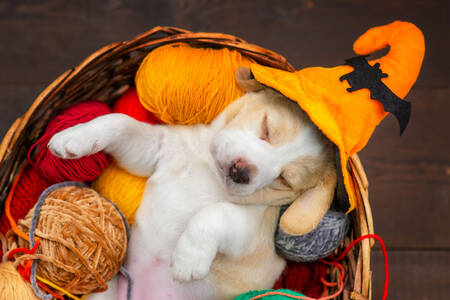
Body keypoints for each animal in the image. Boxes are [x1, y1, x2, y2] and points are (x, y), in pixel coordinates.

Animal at [50, 68, 334, 300]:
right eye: (267, 128)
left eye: (284, 178)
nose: (241, 171)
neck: (208, 167)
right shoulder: (155, 147)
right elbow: (120, 122)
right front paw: (74, 137)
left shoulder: (251, 230)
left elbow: (215, 213)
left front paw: (188, 258)